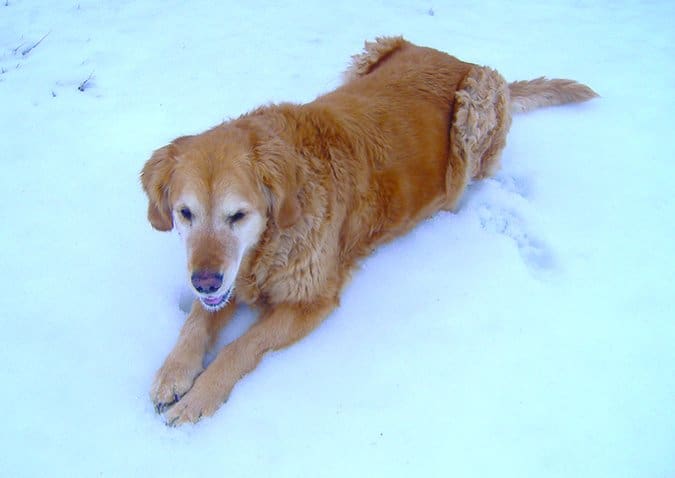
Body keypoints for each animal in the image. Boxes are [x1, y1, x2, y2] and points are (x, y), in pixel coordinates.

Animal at [140, 38, 596, 426]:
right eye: (185, 213)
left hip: (475, 106)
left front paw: (200, 396)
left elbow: (240, 346)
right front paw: (174, 371)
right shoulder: (229, 279)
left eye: (237, 216)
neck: (271, 239)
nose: (204, 281)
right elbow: (197, 320)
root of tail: (457, 57)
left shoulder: (312, 301)